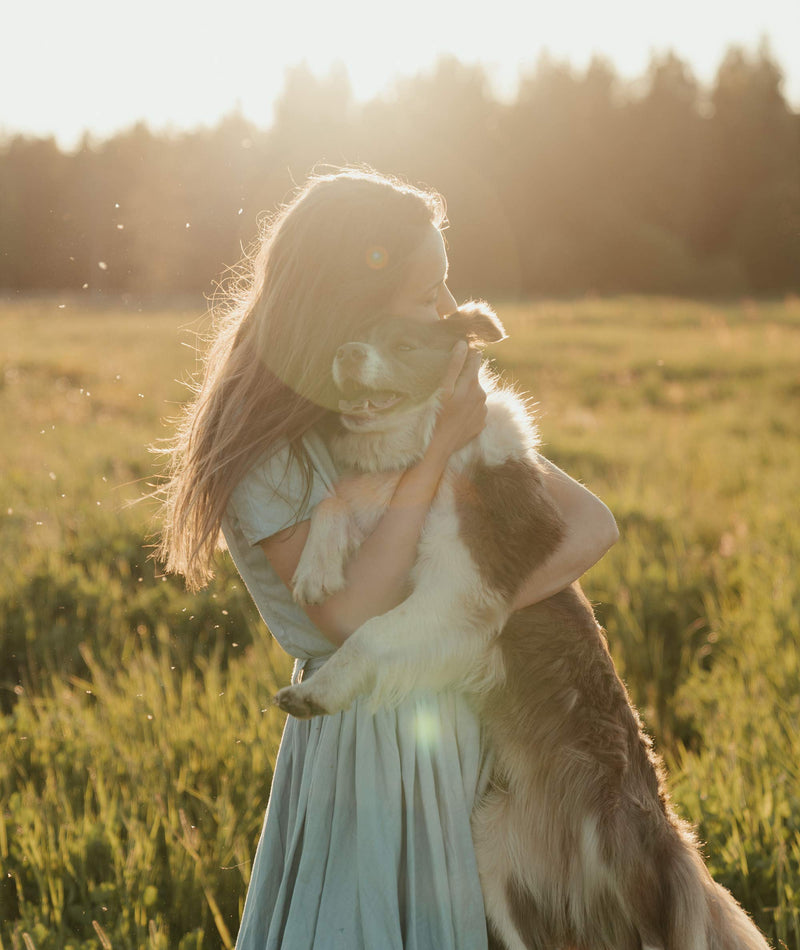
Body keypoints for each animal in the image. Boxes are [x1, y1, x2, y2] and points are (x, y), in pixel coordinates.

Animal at [274, 304, 768, 950]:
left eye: (404, 344)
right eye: (359, 329)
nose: (345, 353)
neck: (433, 447)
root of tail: (672, 842)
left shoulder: (463, 587)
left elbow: (371, 633)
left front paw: (318, 691)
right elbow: (341, 498)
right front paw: (315, 568)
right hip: (494, 846)